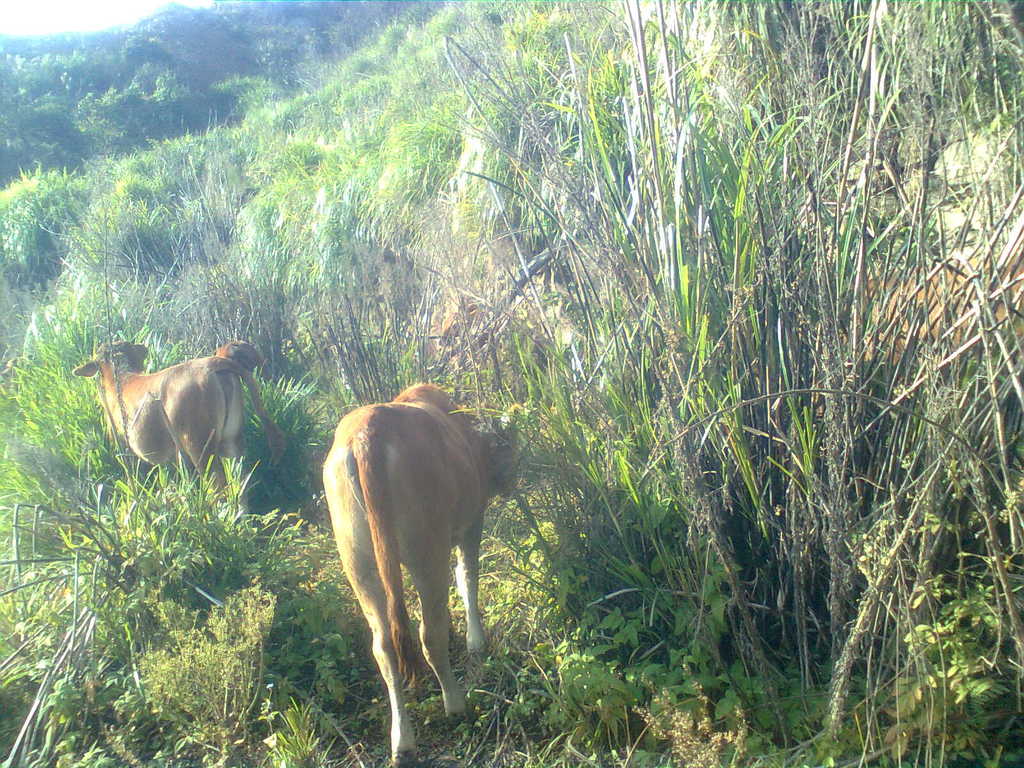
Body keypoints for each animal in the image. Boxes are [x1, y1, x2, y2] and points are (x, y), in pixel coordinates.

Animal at [72, 342, 282, 489]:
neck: (122, 378)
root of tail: (213, 362)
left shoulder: (122, 444)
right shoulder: (178, 453)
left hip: (200, 446)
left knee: (217, 484)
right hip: (231, 439)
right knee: (240, 483)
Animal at [321, 385, 512, 765]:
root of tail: (367, 433)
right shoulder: (472, 523)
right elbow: (468, 577)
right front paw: (476, 640)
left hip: (358, 562)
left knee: (384, 646)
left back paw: (402, 740)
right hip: (428, 550)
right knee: (429, 633)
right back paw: (455, 704)